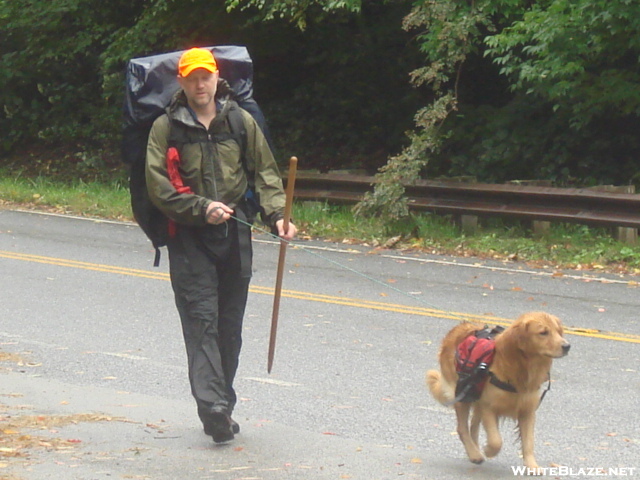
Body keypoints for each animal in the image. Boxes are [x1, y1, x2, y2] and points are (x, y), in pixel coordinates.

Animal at [430, 312, 568, 472]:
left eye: (558, 331)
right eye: (543, 333)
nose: (567, 346)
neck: (522, 369)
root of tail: (458, 328)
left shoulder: (528, 411)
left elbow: (528, 441)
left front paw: (532, 465)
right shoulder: (489, 408)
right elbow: (496, 440)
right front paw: (489, 450)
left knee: (473, 427)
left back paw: (475, 451)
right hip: (462, 394)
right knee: (462, 429)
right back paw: (475, 453)